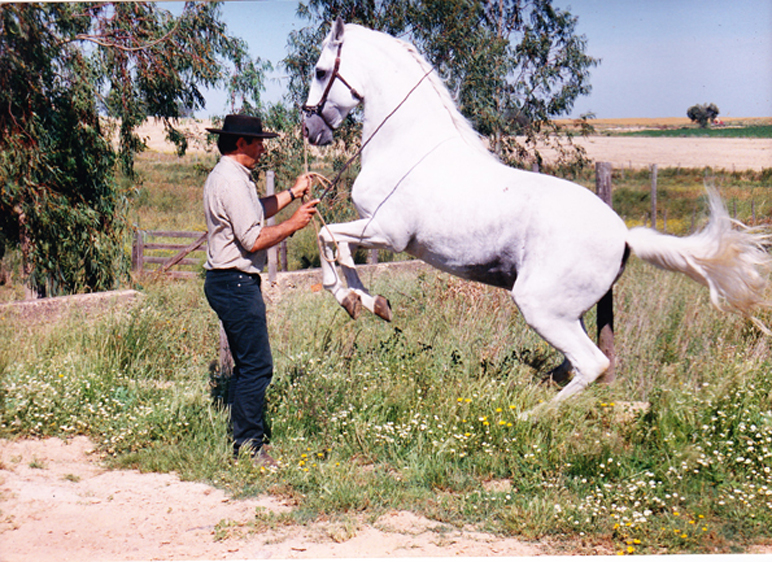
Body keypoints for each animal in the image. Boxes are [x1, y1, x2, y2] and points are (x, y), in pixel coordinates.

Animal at [304, 18, 772, 402]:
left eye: (321, 71)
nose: (309, 130)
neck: (407, 145)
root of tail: (624, 235)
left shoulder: (386, 231)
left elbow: (330, 241)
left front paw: (353, 299)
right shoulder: (376, 229)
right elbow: (335, 246)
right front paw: (369, 302)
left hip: (540, 307)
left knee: (591, 364)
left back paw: (530, 418)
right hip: (566, 312)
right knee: (574, 366)